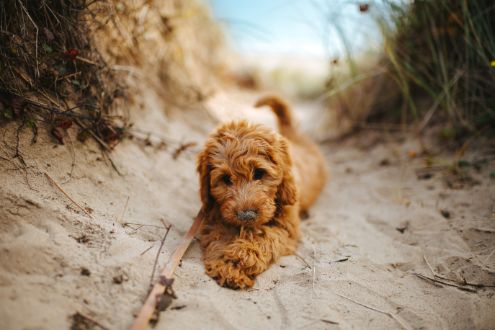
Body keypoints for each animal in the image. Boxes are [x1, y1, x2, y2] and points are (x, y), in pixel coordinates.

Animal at [196, 94, 328, 288]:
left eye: (259, 173)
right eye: (226, 179)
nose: (247, 216)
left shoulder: (285, 226)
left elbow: (263, 239)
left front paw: (239, 260)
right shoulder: (217, 217)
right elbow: (219, 235)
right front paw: (227, 263)